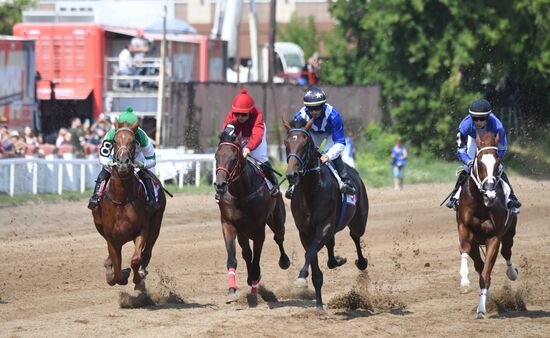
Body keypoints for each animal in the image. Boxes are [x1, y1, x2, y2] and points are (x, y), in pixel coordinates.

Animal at [91, 119, 166, 290]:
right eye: (114, 141)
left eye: (133, 141)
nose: (123, 163)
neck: (121, 200)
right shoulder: (111, 238)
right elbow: (117, 270)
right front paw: (118, 274)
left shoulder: (142, 229)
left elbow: (135, 260)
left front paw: (138, 279)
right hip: (99, 225)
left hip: (156, 224)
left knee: (146, 253)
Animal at [216, 129, 294, 302]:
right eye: (216, 157)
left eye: (233, 159)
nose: (220, 185)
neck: (242, 193)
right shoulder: (229, 225)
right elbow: (234, 257)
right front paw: (232, 290)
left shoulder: (259, 228)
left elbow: (257, 259)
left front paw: (254, 280)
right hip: (243, 232)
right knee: (247, 253)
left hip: (277, 220)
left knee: (279, 238)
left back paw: (283, 261)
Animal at [284, 119, 370, 308]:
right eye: (286, 144)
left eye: (305, 144)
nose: (291, 175)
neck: (311, 190)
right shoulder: (305, 231)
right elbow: (313, 257)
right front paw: (318, 304)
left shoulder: (325, 225)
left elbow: (310, 253)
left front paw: (301, 277)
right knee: (331, 245)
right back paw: (335, 261)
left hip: (359, 221)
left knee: (355, 236)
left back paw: (361, 262)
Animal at [454, 133, 520, 320]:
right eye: (479, 163)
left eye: (498, 163)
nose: (490, 194)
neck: (481, 204)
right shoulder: (465, 231)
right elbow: (465, 251)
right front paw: (464, 282)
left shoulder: (494, 238)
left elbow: (486, 274)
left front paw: (481, 309)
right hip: (477, 243)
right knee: (479, 264)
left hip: (509, 233)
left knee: (506, 252)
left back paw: (512, 273)